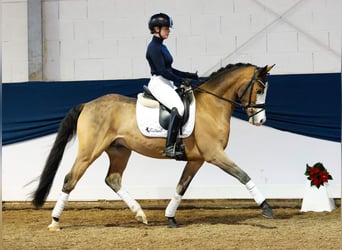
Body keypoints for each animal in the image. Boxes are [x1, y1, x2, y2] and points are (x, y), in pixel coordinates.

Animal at [32, 63, 276, 230]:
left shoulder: (197, 159)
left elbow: (181, 187)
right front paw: (266, 208)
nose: (261, 120)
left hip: (120, 151)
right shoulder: (215, 154)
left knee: (113, 179)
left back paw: (140, 214)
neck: (212, 105)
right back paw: (55, 221)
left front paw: (170, 217)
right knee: (70, 179)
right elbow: (243, 175)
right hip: (89, 151)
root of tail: (88, 104)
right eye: (259, 89)